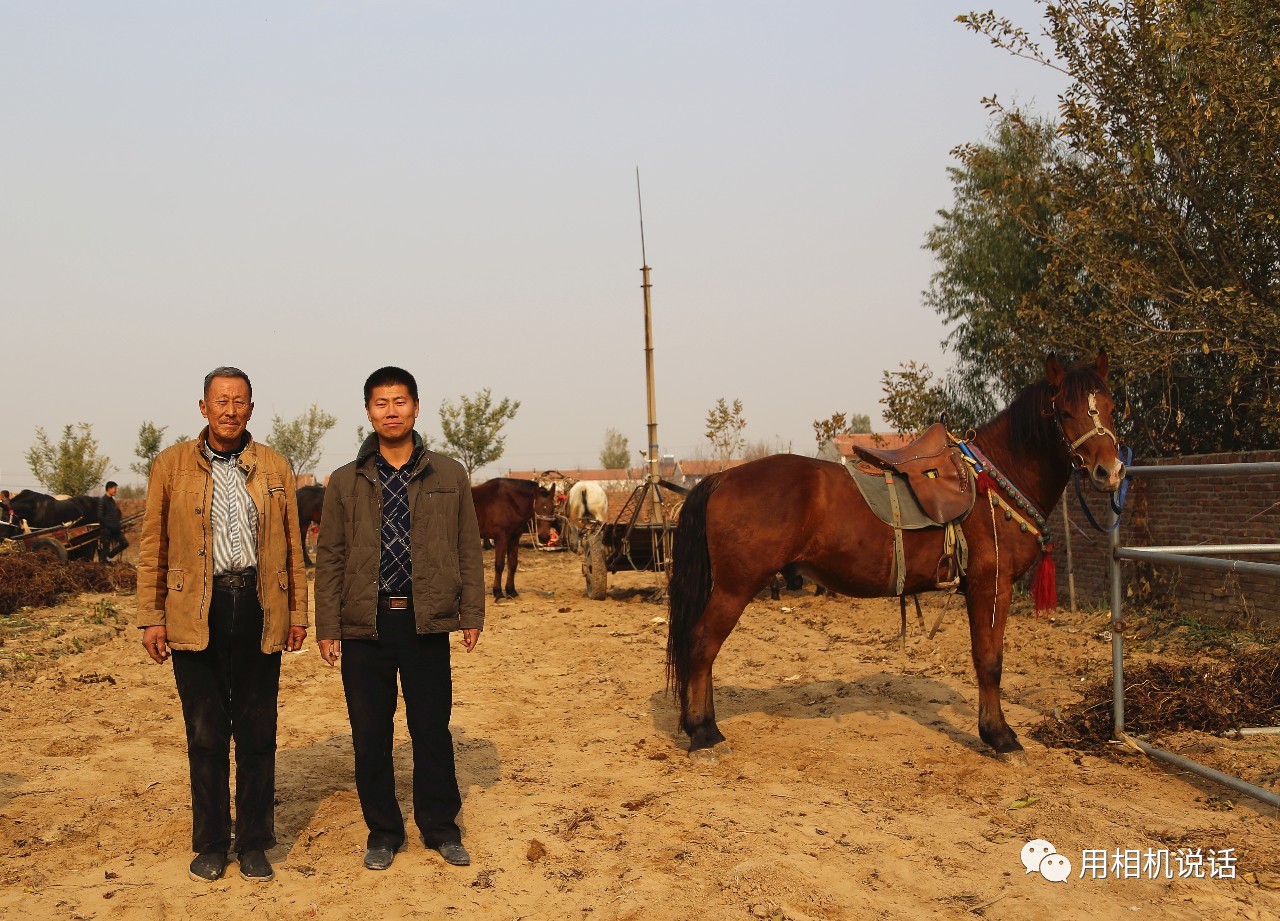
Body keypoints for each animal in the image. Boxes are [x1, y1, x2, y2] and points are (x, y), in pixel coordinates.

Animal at [665, 353, 1126, 762]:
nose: (1110, 472)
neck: (995, 481)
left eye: (1111, 407)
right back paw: (705, 734)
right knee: (702, 645)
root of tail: (722, 477)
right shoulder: (991, 586)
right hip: (734, 587)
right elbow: (989, 661)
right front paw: (1001, 737)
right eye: (1064, 412)